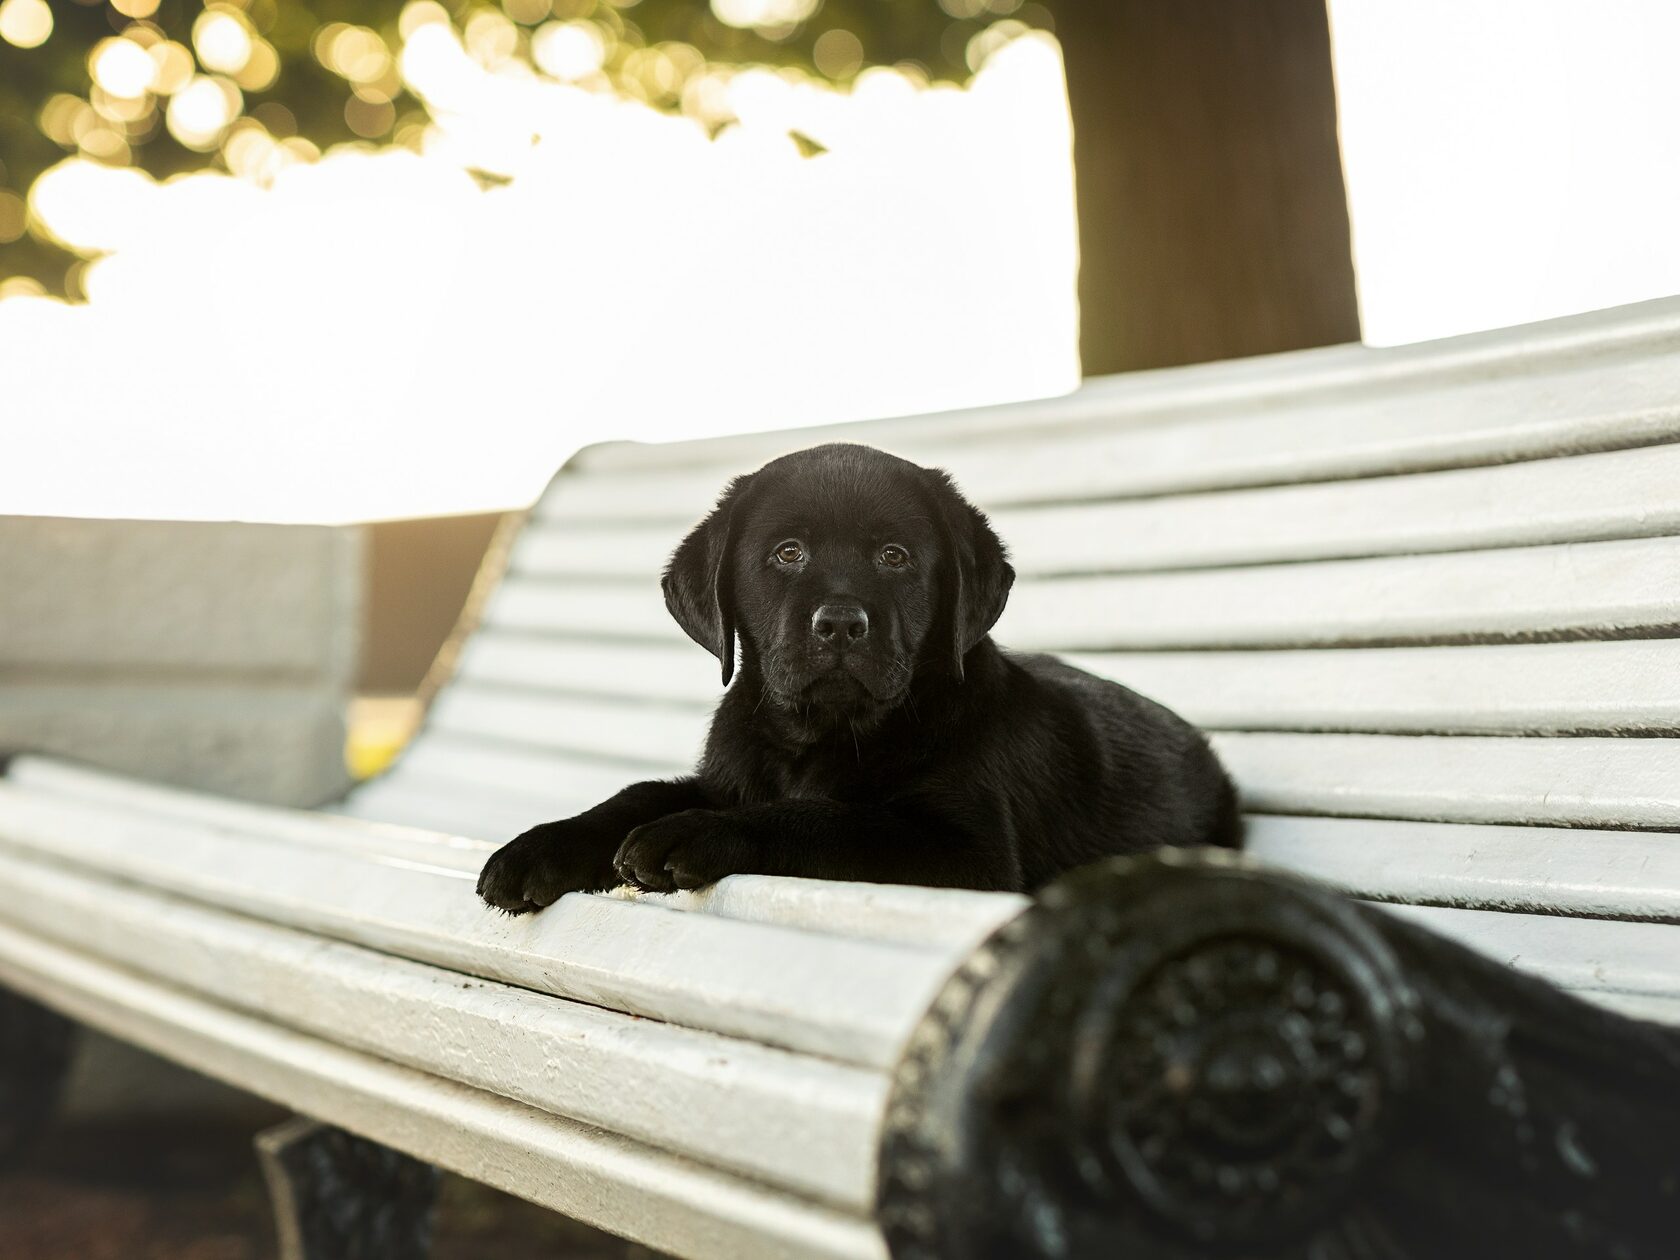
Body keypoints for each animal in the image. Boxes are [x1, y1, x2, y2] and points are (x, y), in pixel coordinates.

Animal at [480, 440, 1243, 913]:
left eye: (895, 556)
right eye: (788, 553)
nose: (842, 624)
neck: (819, 736)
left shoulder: (969, 854)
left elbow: (826, 818)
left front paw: (688, 834)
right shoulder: (726, 774)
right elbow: (638, 793)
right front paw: (536, 849)